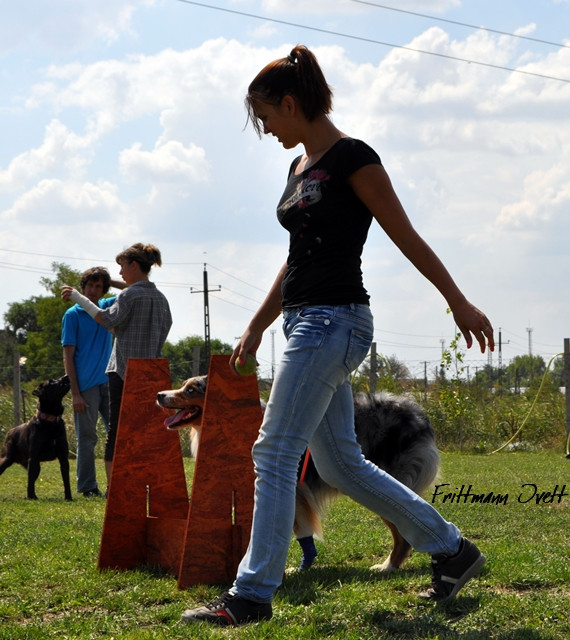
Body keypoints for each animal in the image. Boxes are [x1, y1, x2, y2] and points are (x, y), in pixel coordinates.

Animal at [0, 372, 72, 502]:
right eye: (51, 382)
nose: (66, 375)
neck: (50, 420)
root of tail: (9, 431)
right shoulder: (33, 458)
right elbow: (30, 483)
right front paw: (31, 497)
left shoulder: (63, 457)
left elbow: (66, 481)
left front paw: (69, 498)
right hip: (6, 459)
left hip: (36, 466)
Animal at [155, 372, 440, 572]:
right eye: (183, 385)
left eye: (190, 390)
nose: (159, 394)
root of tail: (417, 414)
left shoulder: (289, 488)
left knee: (403, 529)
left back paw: (388, 566)